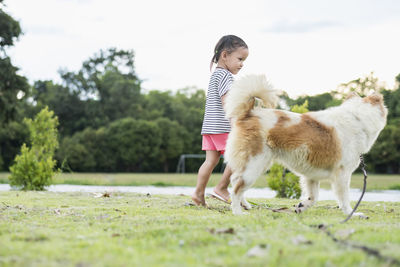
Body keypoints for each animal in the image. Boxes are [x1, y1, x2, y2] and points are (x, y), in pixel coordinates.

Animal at [223, 75, 386, 216]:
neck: (357, 118)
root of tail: (249, 113)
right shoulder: (342, 174)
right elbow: (344, 199)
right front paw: (351, 214)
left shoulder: (311, 175)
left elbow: (313, 198)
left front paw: (301, 206)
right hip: (254, 165)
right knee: (236, 188)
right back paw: (237, 212)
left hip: (257, 165)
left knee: (235, 181)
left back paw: (245, 205)